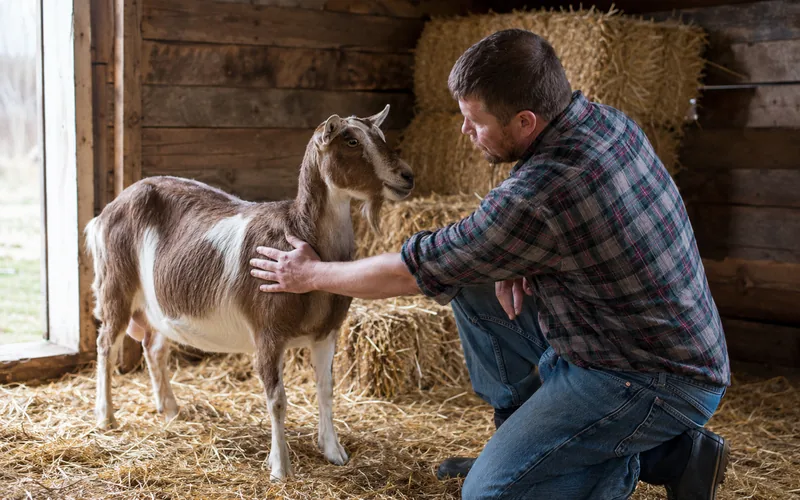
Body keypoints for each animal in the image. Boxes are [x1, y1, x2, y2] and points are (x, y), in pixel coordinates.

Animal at [84, 105, 414, 480]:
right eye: (352, 141)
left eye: (380, 136)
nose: (406, 176)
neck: (299, 234)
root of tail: (105, 214)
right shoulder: (268, 332)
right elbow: (277, 399)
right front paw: (280, 468)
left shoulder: (326, 332)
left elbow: (326, 390)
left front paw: (334, 451)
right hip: (115, 286)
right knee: (106, 343)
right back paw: (106, 417)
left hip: (157, 304)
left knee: (154, 348)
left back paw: (169, 409)